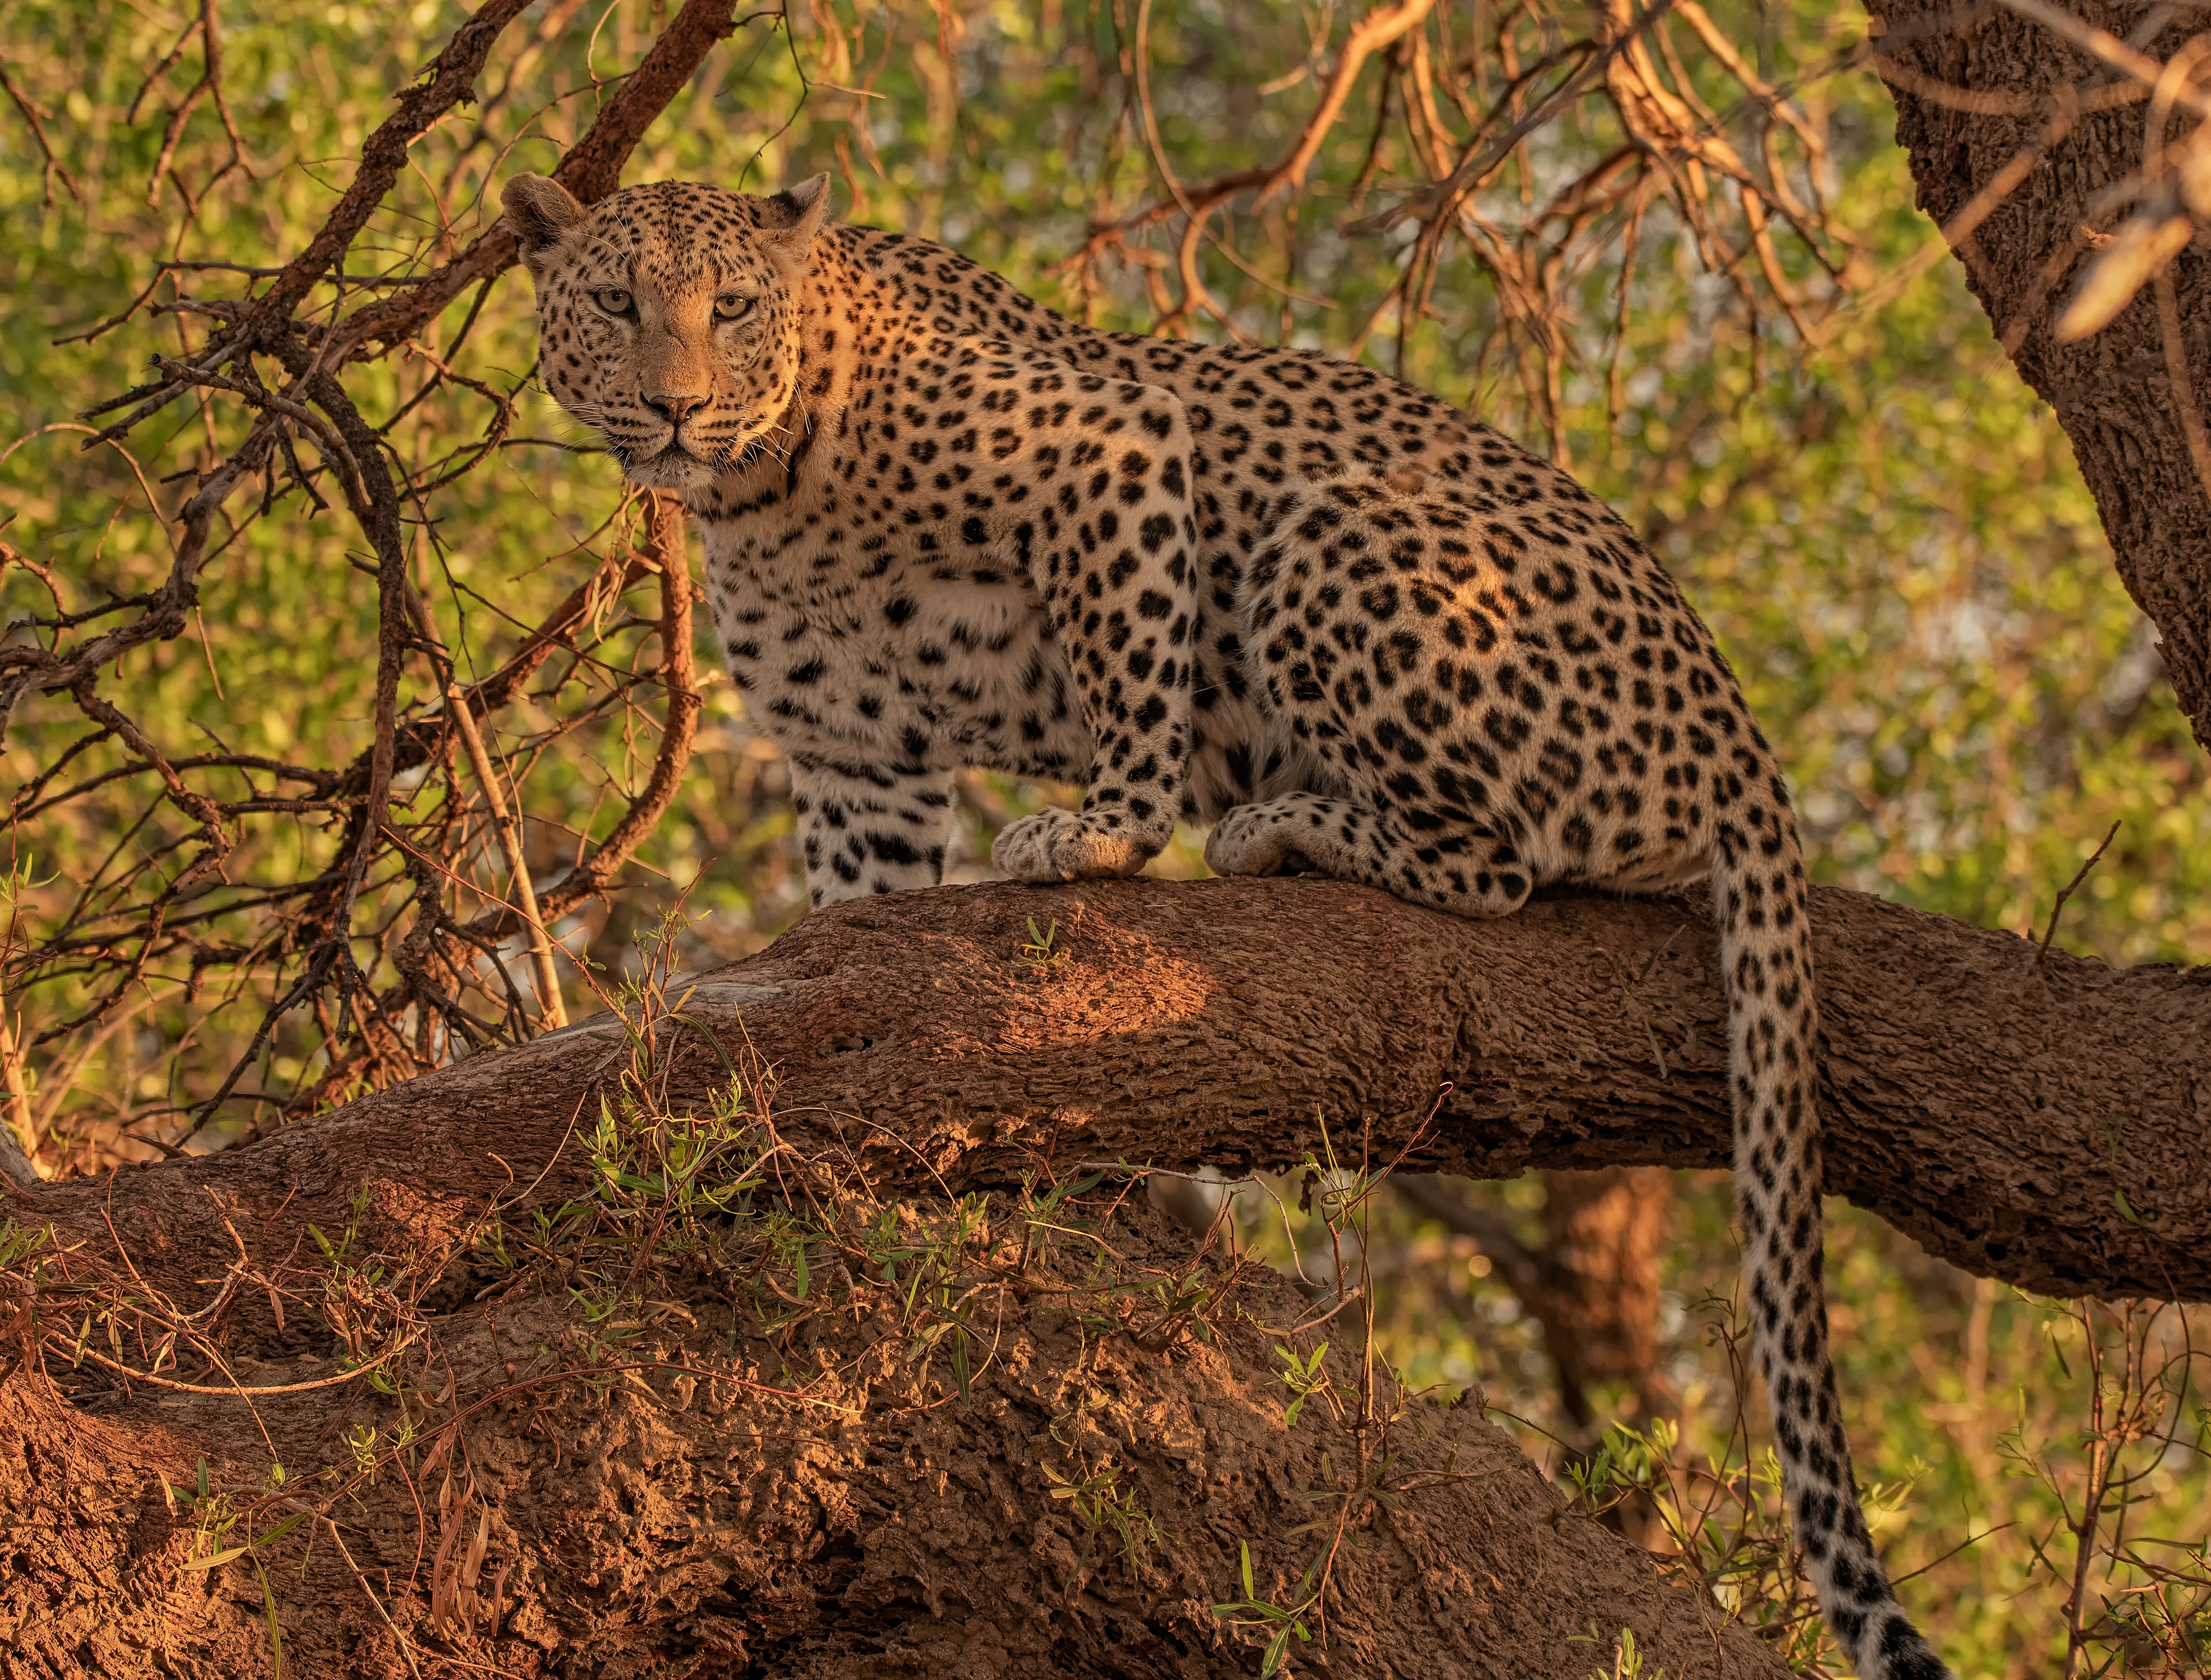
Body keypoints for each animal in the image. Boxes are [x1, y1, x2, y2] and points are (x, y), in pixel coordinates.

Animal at [506, 167, 1954, 1680]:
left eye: (731, 307)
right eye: (616, 302)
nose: (676, 405)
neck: (767, 488)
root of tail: (1744, 745)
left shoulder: (1112, 455)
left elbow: (1126, 675)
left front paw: (1100, 830)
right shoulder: (855, 756)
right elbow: (866, 912)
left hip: (1337, 530)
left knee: (1497, 859)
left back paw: (1277, 827)